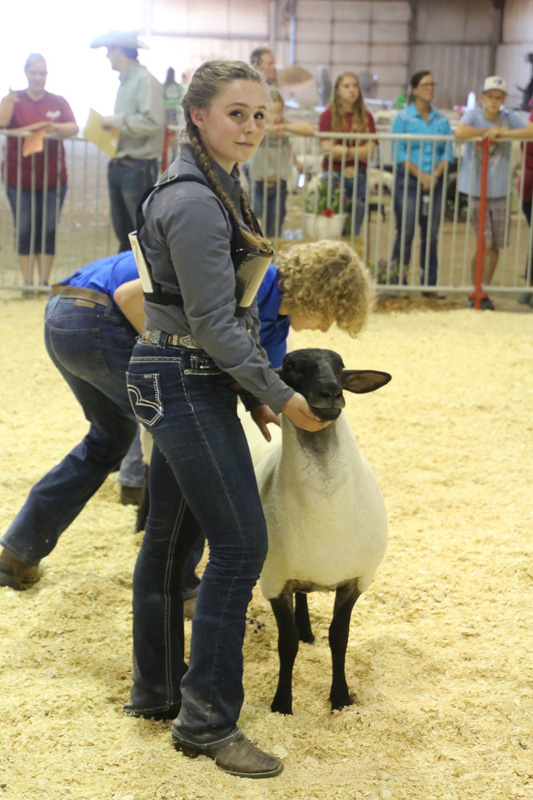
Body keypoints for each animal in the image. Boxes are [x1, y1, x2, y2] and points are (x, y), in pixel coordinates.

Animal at [254, 346, 390, 716]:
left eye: (340, 367)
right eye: (290, 367)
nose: (330, 392)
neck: (326, 510)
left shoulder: (356, 581)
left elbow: (338, 638)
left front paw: (341, 699)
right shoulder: (274, 582)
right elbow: (286, 644)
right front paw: (281, 704)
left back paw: (307, 630)